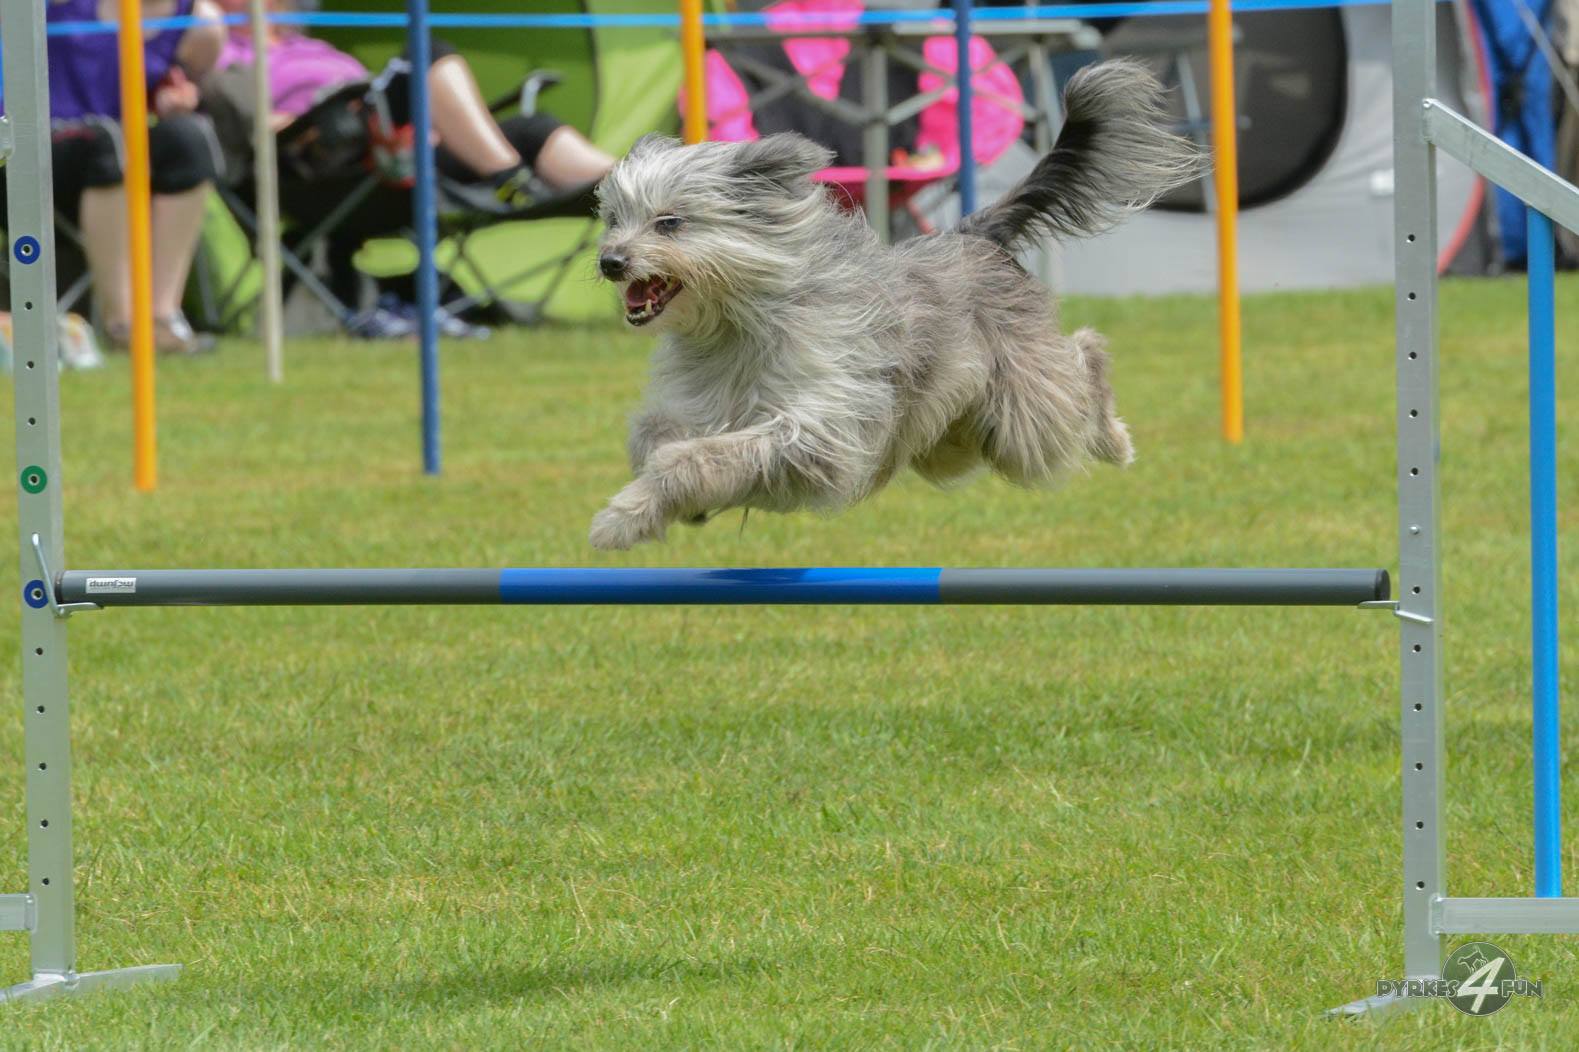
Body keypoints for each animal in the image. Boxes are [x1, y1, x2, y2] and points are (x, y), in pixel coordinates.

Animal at [588, 60, 1199, 551]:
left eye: (670, 222)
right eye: (614, 218)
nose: (610, 262)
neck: (738, 324)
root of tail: (976, 235)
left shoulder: (820, 428)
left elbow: (691, 456)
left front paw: (620, 518)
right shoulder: (709, 406)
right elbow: (654, 435)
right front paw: (662, 509)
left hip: (1023, 421)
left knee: (1085, 356)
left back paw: (1115, 436)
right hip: (948, 439)